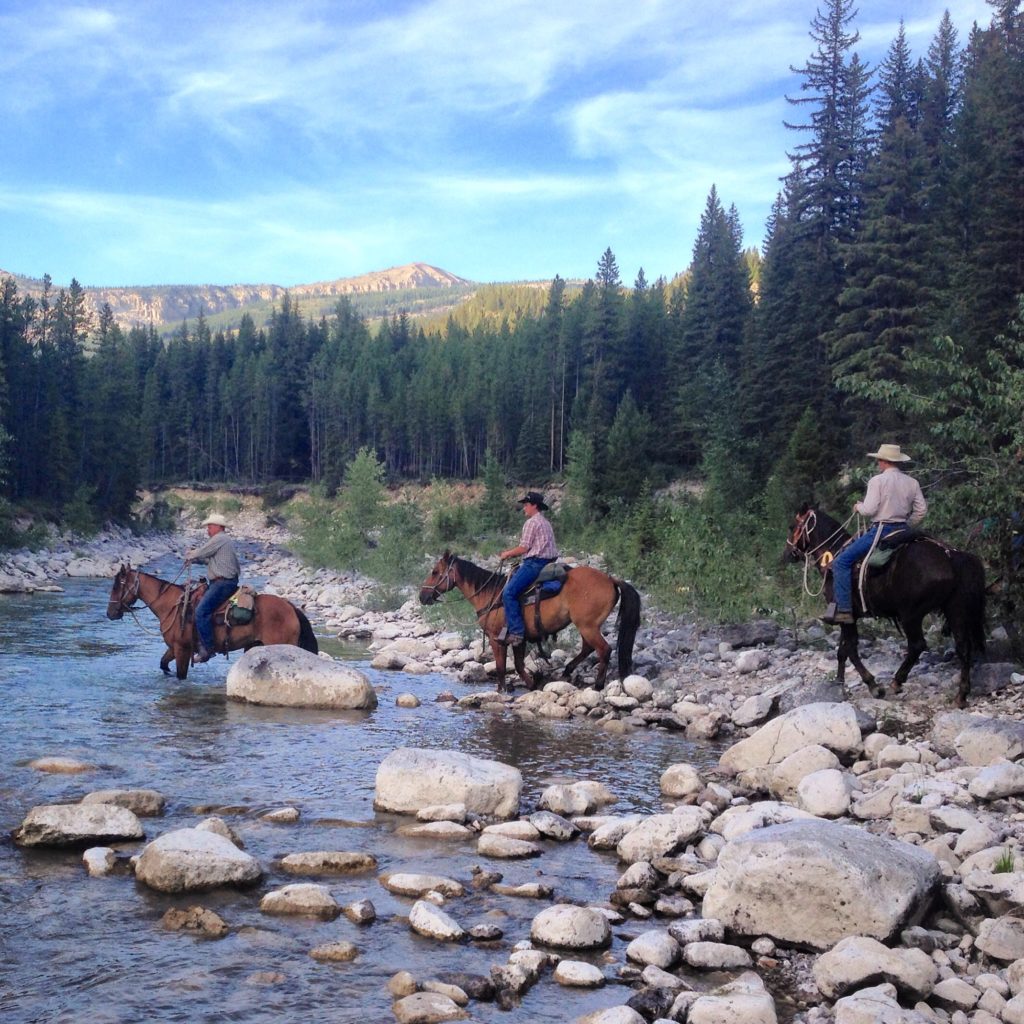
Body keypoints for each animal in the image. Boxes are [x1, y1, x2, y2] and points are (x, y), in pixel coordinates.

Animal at [105, 569, 315, 679]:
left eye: (116, 586)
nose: (110, 613)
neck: (170, 605)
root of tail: (290, 607)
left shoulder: (182, 649)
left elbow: (181, 675)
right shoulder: (174, 647)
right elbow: (163, 664)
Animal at [415, 552, 638, 696]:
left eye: (434, 572)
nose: (422, 596)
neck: (490, 594)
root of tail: (611, 579)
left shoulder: (497, 639)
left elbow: (502, 667)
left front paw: (501, 690)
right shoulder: (519, 639)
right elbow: (519, 665)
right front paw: (532, 685)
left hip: (587, 626)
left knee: (603, 649)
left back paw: (598, 685)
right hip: (586, 626)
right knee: (588, 648)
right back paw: (567, 671)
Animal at [782, 501, 983, 704]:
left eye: (792, 526)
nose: (787, 555)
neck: (833, 556)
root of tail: (951, 556)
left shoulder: (846, 615)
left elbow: (851, 649)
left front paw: (873, 686)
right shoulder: (846, 617)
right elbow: (842, 651)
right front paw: (839, 683)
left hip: (911, 614)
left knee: (917, 645)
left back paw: (896, 682)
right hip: (955, 609)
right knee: (963, 647)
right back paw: (961, 695)